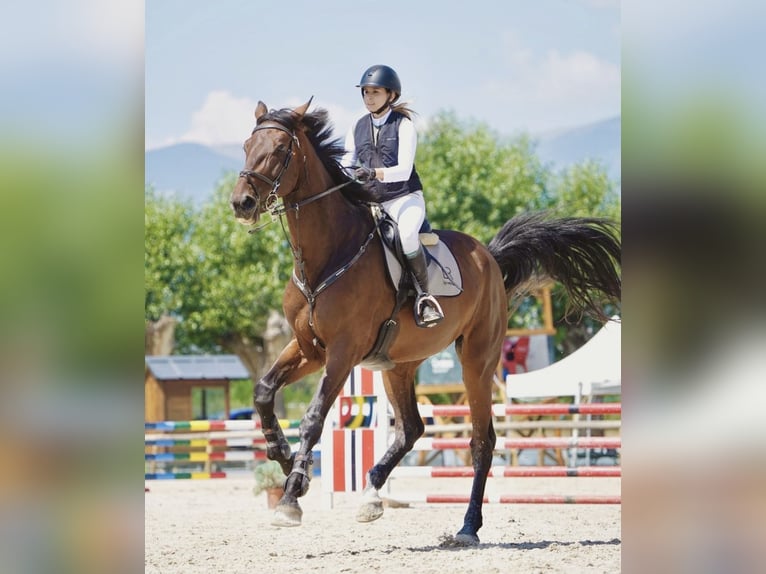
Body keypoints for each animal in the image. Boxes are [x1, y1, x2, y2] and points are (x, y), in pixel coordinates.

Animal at [230, 99, 621, 545]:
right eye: (247, 146)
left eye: (280, 149)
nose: (241, 203)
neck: (327, 255)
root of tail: (488, 256)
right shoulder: (309, 349)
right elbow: (263, 391)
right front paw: (281, 456)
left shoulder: (342, 353)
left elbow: (313, 417)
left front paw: (291, 497)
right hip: (398, 365)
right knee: (411, 429)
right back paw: (370, 496)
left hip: (477, 362)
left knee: (482, 440)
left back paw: (468, 527)